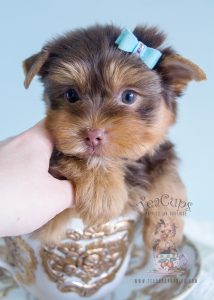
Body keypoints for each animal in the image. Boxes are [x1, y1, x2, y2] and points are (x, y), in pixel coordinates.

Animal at [22, 24, 206, 246]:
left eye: (129, 96)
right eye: (71, 95)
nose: (93, 135)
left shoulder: (156, 153)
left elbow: (167, 172)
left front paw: (166, 226)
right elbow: (76, 158)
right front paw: (101, 193)